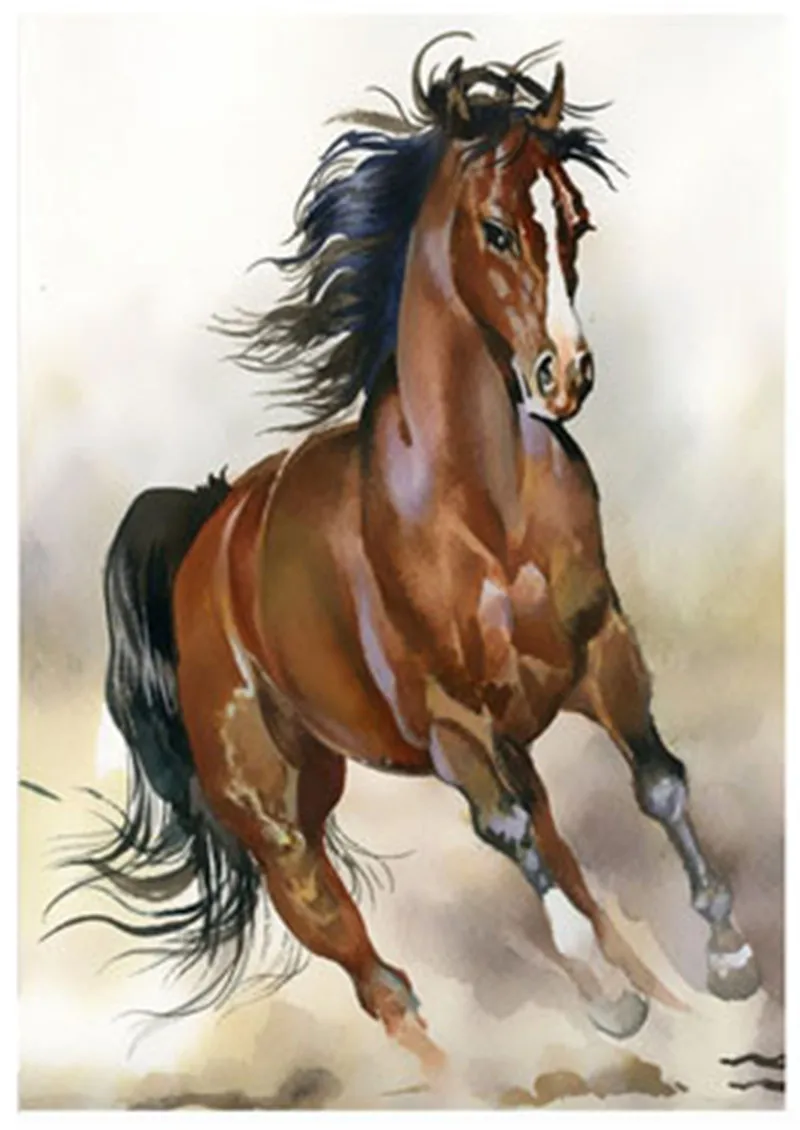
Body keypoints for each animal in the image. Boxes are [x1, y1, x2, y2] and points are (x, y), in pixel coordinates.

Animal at [51, 36, 760, 1075]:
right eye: (497, 230)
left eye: (576, 222)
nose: (566, 375)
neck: (484, 510)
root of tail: (207, 533)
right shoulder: (449, 725)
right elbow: (511, 838)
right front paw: (607, 1000)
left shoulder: (600, 653)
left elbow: (658, 784)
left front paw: (729, 953)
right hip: (281, 819)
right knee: (366, 963)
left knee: (561, 864)